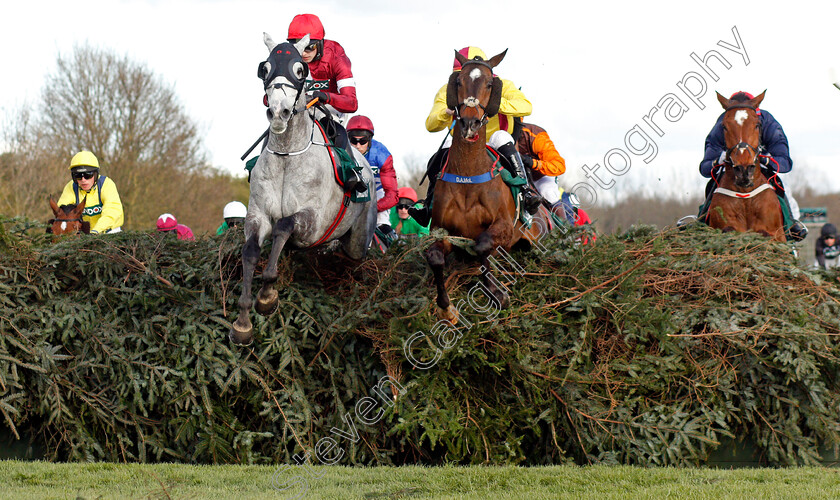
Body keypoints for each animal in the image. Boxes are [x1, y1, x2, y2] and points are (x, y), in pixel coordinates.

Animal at [228, 33, 376, 346]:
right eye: (265, 68)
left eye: (299, 70)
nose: (278, 112)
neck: (287, 155)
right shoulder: (257, 215)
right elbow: (250, 250)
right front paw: (243, 322)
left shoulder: (312, 222)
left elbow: (284, 225)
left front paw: (267, 297)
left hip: (359, 238)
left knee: (352, 255)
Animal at [426, 49, 552, 324]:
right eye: (458, 81)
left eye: (490, 84)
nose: (469, 123)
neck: (468, 176)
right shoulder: (443, 231)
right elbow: (436, 257)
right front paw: (446, 308)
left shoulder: (503, 226)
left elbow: (482, 244)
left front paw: (496, 293)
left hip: (534, 238)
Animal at [708, 92, 788, 244]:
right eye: (724, 126)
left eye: (757, 124)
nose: (744, 169)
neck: (745, 195)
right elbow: (727, 231)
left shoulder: (778, 235)